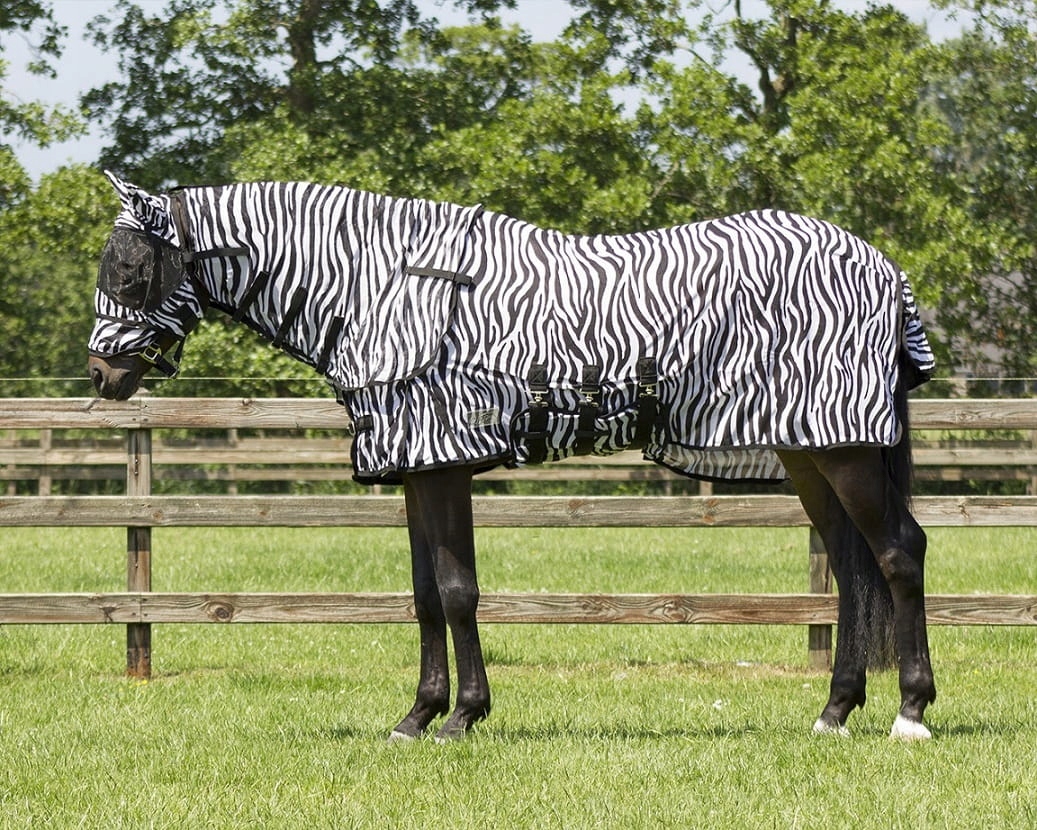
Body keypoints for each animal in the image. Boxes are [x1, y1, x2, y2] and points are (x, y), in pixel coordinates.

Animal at [89, 172, 937, 742]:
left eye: (128, 271)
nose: (102, 376)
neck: (381, 285)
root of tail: (883, 268)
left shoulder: (441, 466)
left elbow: (458, 591)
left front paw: (460, 717)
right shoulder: (416, 468)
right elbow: (424, 595)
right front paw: (417, 715)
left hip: (844, 452)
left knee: (898, 553)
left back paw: (911, 711)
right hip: (807, 451)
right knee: (851, 567)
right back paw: (833, 711)